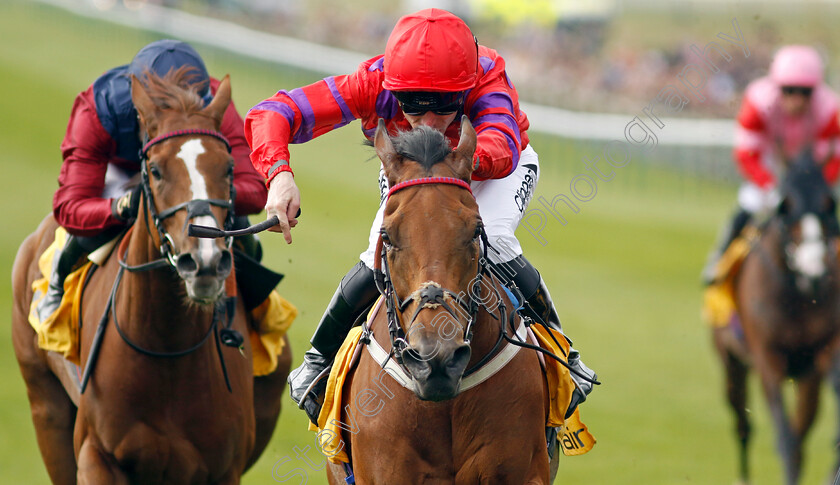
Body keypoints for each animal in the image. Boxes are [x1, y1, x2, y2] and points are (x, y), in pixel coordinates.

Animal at [9, 69, 292, 484]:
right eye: (155, 170)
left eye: (228, 168)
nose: (205, 262)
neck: (168, 352)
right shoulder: (97, 455)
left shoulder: (223, 468)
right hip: (45, 405)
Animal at [712, 148, 840, 484]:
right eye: (786, 205)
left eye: (829, 204)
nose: (814, 270)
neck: (798, 294)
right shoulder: (767, 356)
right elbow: (784, 436)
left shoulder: (823, 351)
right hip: (731, 361)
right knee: (743, 425)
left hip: (806, 377)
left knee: (801, 428)